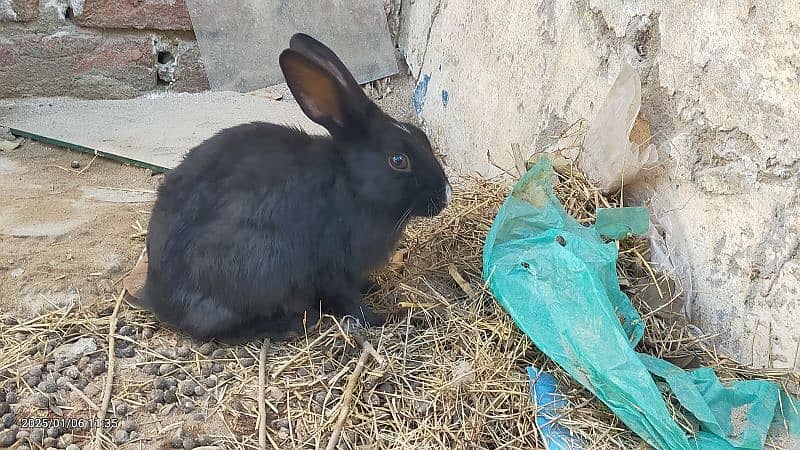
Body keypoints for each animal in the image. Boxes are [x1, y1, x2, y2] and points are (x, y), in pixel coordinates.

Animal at [141, 33, 454, 342]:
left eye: (421, 136)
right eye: (398, 161)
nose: (445, 194)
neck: (352, 184)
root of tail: (158, 298)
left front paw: (371, 288)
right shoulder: (333, 266)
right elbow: (349, 299)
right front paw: (379, 319)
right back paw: (287, 325)